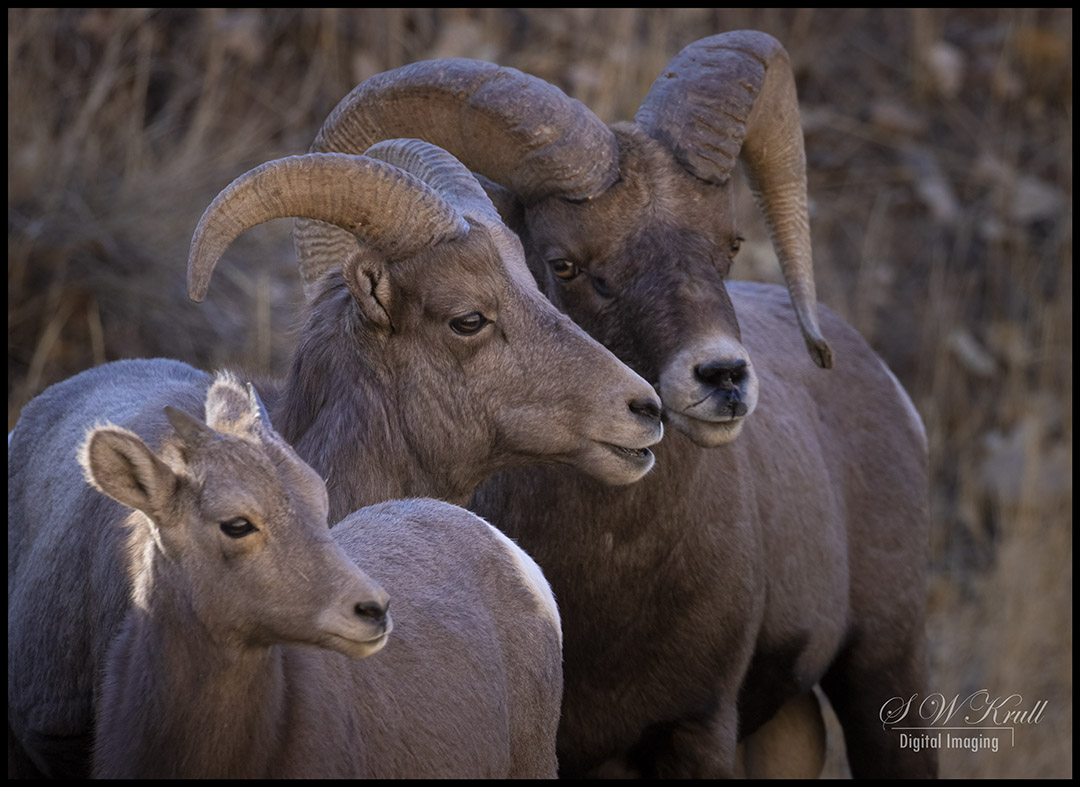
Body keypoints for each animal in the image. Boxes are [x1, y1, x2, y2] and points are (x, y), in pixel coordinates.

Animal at [296, 31, 934, 778]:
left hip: (883, 672)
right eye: (564, 264)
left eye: (730, 243)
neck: (603, 576)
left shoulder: (696, 726)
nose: (721, 377)